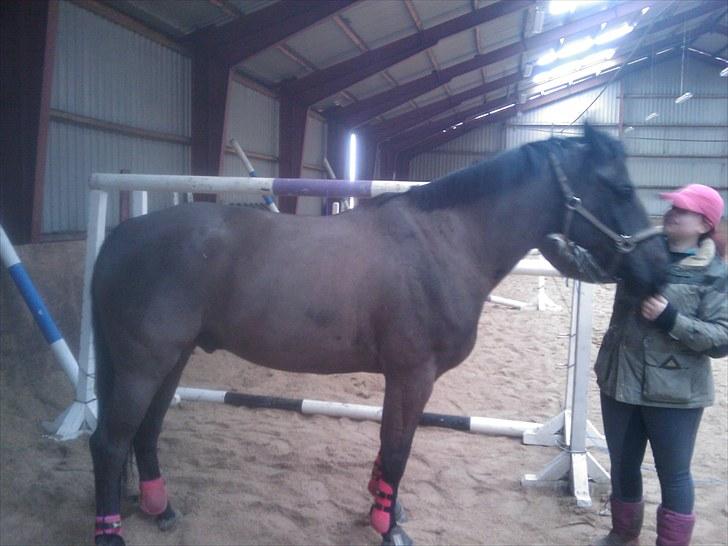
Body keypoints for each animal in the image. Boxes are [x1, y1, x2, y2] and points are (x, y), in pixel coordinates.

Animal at [89, 123, 669, 546]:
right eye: (620, 187)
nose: (660, 269)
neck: (445, 241)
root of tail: (122, 235)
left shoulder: (402, 378)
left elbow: (391, 449)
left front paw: (386, 510)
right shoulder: (414, 375)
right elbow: (397, 450)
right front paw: (389, 529)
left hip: (174, 358)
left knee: (146, 431)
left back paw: (160, 508)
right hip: (144, 365)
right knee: (109, 443)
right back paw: (111, 532)